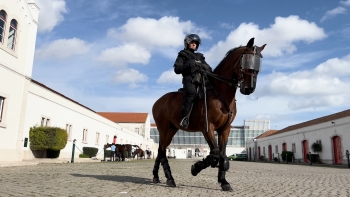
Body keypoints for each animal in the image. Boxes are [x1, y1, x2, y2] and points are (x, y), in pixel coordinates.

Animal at [151, 37, 266, 192]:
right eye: (246, 59)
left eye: (258, 61)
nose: (249, 88)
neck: (220, 93)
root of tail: (158, 102)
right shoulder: (207, 128)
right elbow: (215, 154)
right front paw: (195, 168)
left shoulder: (225, 129)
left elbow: (222, 154)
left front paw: (224, 181)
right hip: (163, 129)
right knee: (163, 151)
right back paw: (170, 178)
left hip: (171, 129)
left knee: (160, 150)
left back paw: (156, 176)